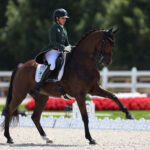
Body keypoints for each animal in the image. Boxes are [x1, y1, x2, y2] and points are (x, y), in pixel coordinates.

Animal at [2, 28, 134, 145]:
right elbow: (85, 117)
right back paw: (9, 138)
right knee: (9, 111)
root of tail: (20, 67)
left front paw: (128, 115)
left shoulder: (94, 89)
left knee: (35, 117)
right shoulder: (80, 94)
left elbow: (113, 96)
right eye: (106, 42)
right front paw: (90, 139)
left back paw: (47, 138)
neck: (83, 62)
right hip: (20, 94)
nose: (107, 62)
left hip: (42, 97)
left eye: (113, 43)